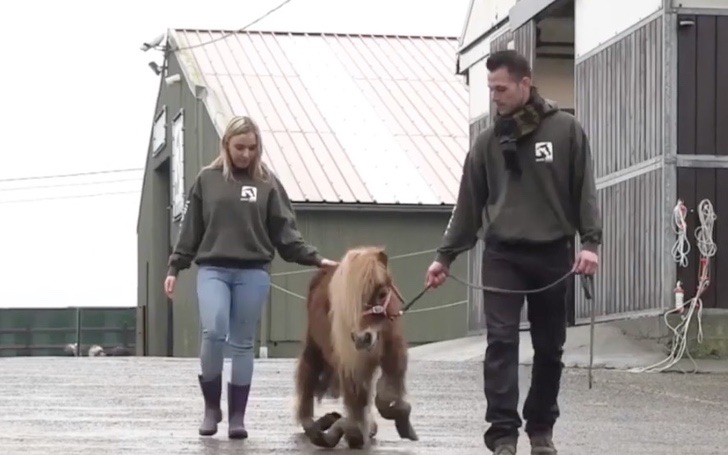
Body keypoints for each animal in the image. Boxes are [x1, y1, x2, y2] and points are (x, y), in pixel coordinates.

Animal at [292, 246, 418, 448]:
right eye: (351, 299)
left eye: (383, 293)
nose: (361, 338)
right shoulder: (350, 363)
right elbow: (357, 404)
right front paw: (348, 431)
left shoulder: (394, 357)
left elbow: (385, 397)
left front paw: (403, 422)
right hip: (315, 347)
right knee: (308, 377)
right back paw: (315, 425)